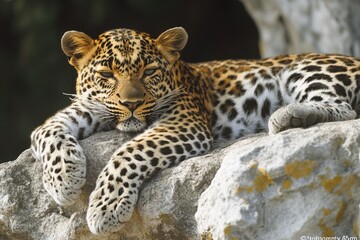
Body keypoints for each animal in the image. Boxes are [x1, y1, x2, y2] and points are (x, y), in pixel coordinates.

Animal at [30, 26, 360, 234]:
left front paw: (105, 208)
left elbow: (129, 152)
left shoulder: (185, 122)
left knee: (344, 109)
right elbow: (44, 131)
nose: (131, 103)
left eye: (149, 72)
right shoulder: (86, 108)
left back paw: (285, 116)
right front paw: (64, 181)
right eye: (107, 74)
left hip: (306, 68)